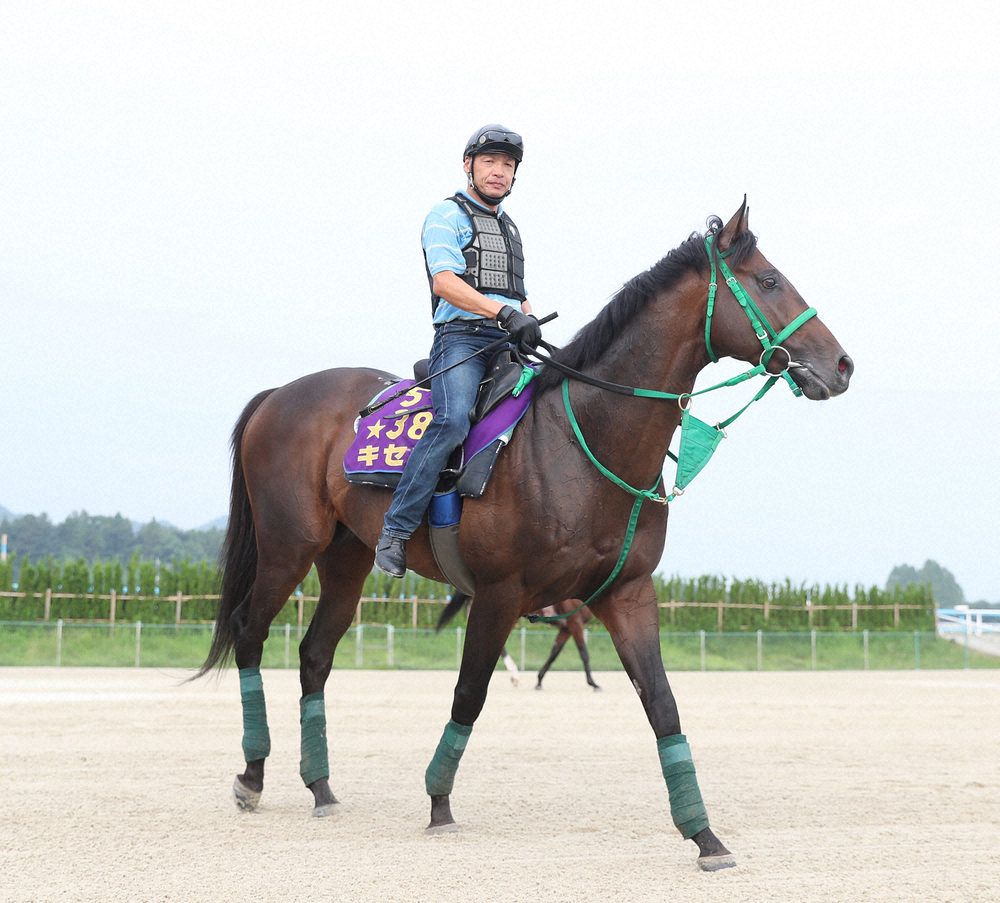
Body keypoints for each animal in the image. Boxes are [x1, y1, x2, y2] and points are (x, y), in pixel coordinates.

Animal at [193, 201, 852, 872]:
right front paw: (439, 805)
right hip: (287, 550)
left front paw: (704, 836)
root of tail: (281, 394)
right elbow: (469, 694)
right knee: (250, 632)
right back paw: (252, 776)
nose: (842, 364)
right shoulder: (499, 594)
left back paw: (321, 787)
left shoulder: (626, 594)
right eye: (769, 280)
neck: (583, 440)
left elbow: (662, 706)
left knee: (314, 656)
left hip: (346, 560)